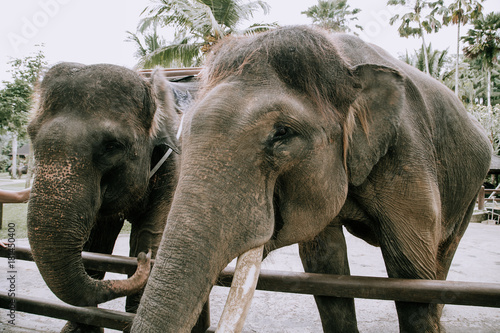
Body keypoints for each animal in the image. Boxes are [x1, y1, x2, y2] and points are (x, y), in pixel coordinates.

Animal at [26, 63, 196, 330]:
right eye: (31, 134)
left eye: (112, 146)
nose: (144, 260)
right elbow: (97, 244)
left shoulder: (174, 166)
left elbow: (149, 235)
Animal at [133, 26, 492, 332]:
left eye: (282, 134)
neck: (345, 63)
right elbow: (325, 267)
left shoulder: (407, 153)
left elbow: (411, 274)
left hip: (472, 186)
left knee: (442, 257)